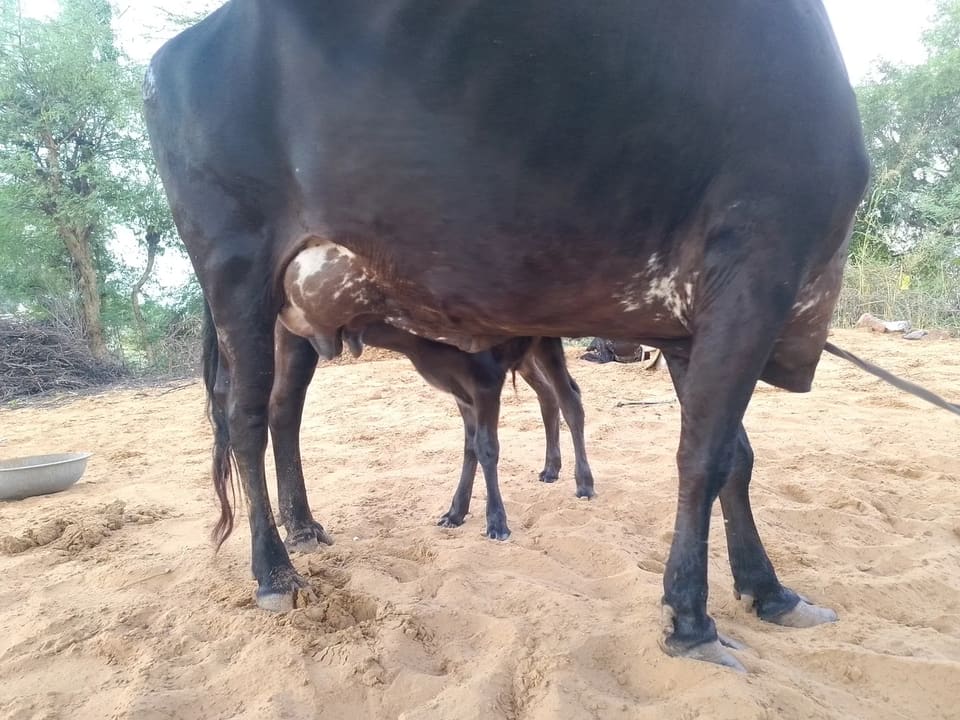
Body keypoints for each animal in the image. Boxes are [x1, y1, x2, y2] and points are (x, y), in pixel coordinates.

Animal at [269, 320, 594, 546]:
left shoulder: (486, 382)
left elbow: (487, 447)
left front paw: (496, 522)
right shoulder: (460, 388)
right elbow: (471, 446)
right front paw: (456, 512)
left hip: (547, 342)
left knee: (570, 400)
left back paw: (585, 483)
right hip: (527, 354)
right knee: (548, 395)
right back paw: (551, 468)